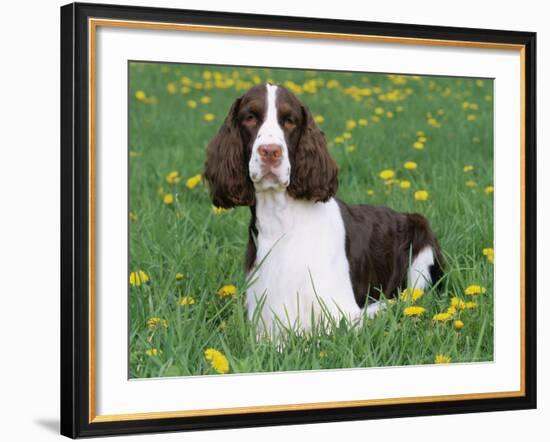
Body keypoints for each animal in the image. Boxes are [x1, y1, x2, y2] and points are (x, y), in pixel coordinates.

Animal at [205, 83, 446, 338]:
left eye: (289, 121)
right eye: (250, 117)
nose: (270, 151)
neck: (282, 222)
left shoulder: (341, 314)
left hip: (421, 245)